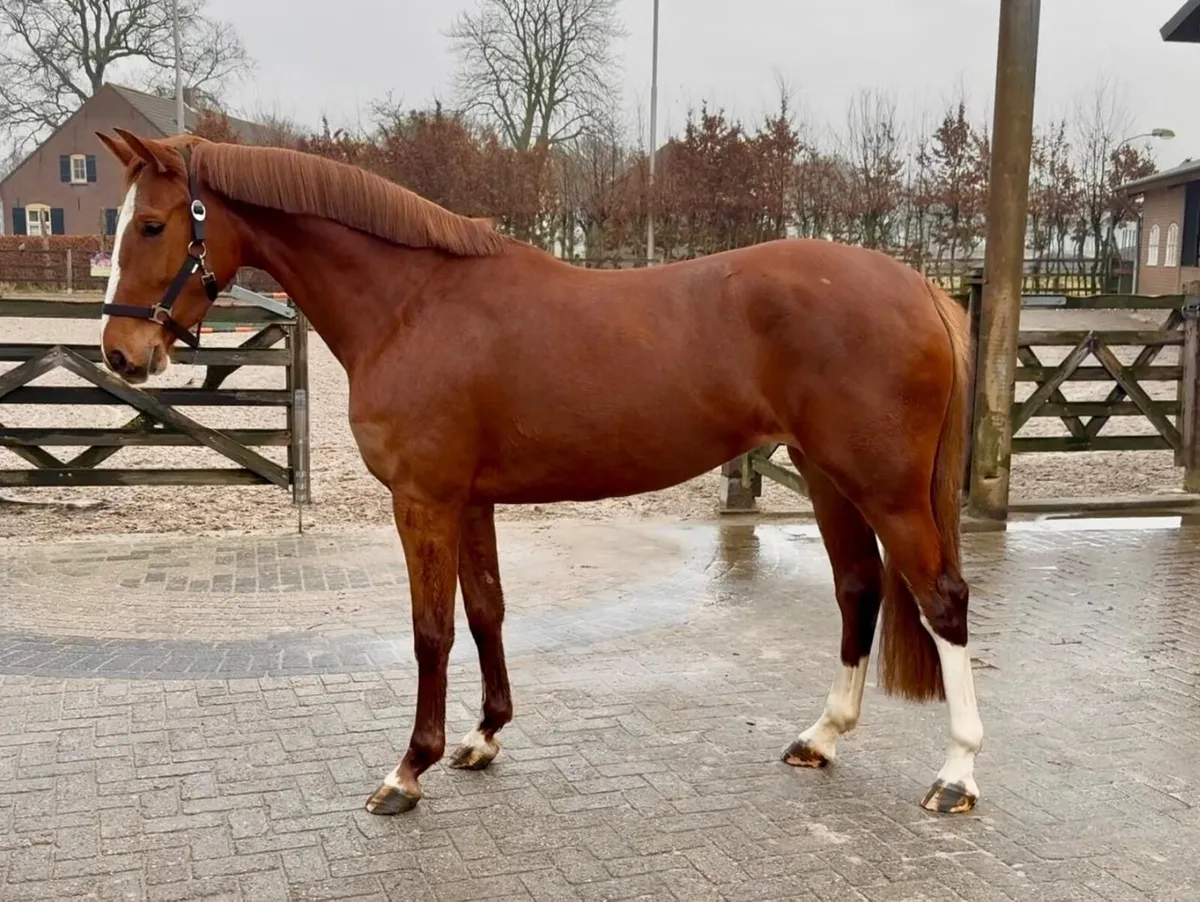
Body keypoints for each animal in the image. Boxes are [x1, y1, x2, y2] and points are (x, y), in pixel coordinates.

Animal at [94, 127, 983, 817]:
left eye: (151, 226)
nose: (121, 355)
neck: (412, 304)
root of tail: (918, 286)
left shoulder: (423, 501)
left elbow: (430, 630)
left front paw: (407, 771)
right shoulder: (469, 501)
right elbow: (485, 610)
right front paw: (483, 737)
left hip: (887, 489)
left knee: (942, 601)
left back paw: (957, 774)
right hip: (828, 476)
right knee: (858, 589)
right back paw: (822, 737)